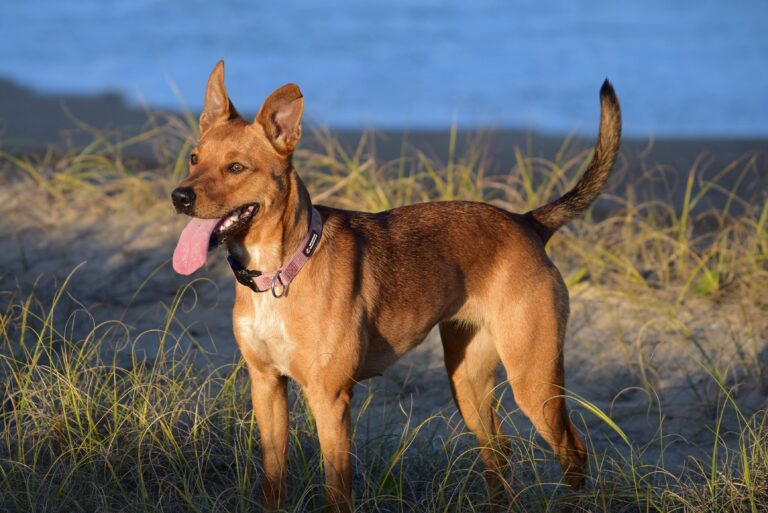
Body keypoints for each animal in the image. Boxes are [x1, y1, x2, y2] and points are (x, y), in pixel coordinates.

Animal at [171, 62, 620, 510]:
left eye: (236, 168)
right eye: (194, 158)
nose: (180, 196)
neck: (282, 270)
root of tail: (527, 222)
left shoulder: (330, 400)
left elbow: (337, 491)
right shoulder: (266, 387)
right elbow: (273, 482)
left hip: (534, 381)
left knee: (573, 452)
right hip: (469, 383)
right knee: (499, 451)